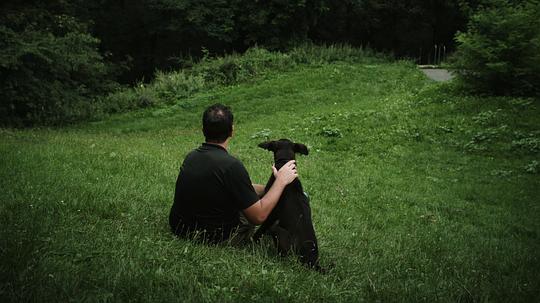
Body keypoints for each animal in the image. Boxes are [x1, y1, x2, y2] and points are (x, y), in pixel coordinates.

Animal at [254, 140, 320, 270]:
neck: (284, 163)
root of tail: (312, 262)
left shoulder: (271, 213)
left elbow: (261, 228)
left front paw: (254, 240)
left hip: (278, 231)